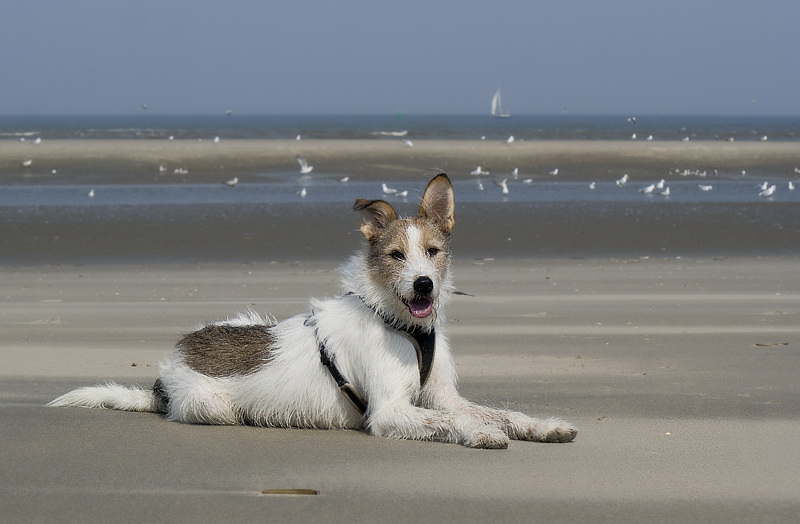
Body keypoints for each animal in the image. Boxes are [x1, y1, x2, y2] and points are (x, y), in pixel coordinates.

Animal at [48, 173, 576, 450]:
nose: (424, 284)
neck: (399, 323)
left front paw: (541, 425)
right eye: (395, 256)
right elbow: (458, 421)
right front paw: (481, 433)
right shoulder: (390, 412)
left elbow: (500, 411)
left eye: (433, 251)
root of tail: (162, 376)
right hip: (212, 405)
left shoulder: (443, 396)